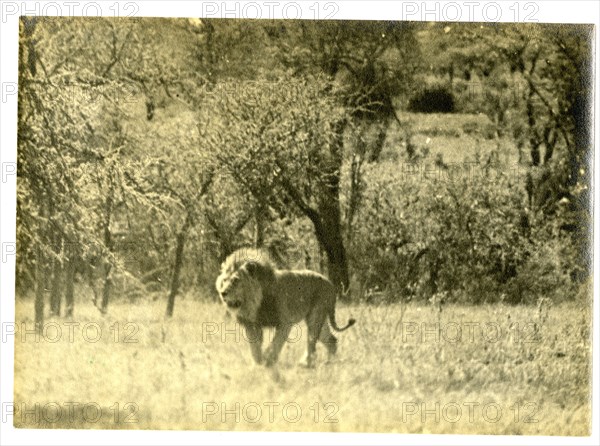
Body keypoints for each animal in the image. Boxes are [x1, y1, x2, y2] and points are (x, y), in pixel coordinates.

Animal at [217, 247, 354, 366]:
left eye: (236, 280)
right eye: (224, 280)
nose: (223, 293)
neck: (254, 302)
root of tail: (330, 284)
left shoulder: (285, 322)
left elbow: (276, 343)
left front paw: (268, 360)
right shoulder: (252, 324)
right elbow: (254, 347)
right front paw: (258, 364)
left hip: (315, 315)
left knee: (312, 341)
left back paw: (306, 364)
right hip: (320, 318)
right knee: (331, 340)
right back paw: (330, 362)